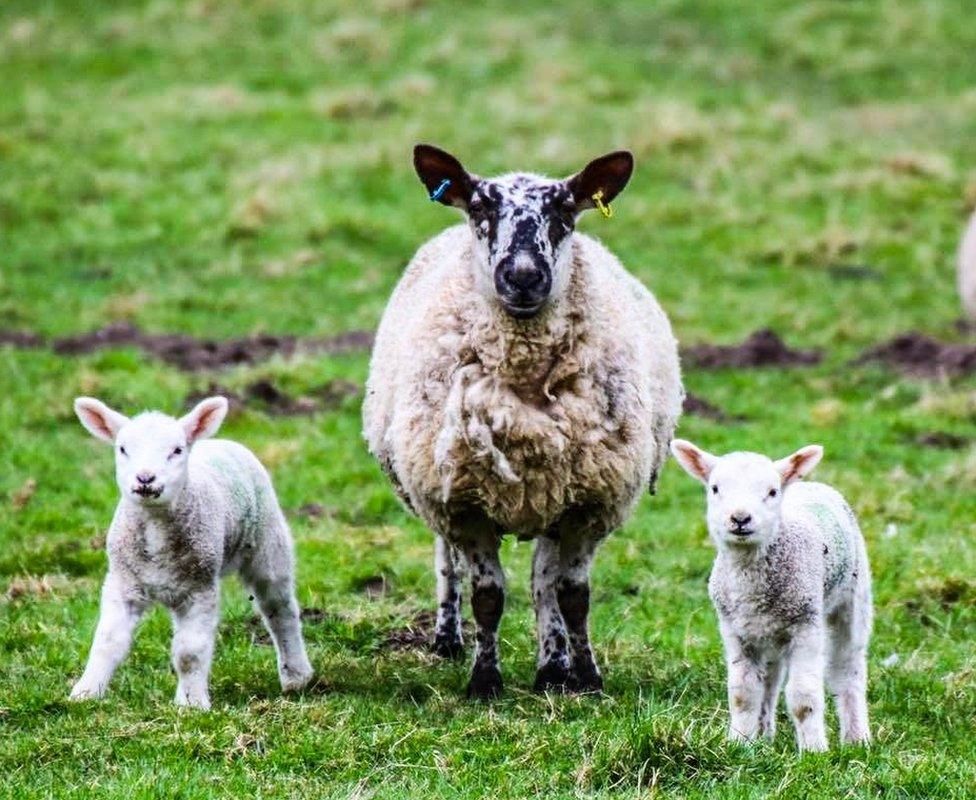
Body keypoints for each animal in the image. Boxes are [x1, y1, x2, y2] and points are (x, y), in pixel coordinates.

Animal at [69, 396, 313, 709]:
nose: (145, 478)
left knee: (279, 609)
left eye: (176, 450)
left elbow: (190, 651)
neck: (155, 526)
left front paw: (191, 703)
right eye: (122, 449)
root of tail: (219, 441)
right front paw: (86, 692)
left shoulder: (200, 588)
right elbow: (107, 641)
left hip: (268, 543)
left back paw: (296, 675)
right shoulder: (123, 582)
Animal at [363, 144, 683, 699]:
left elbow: (572, 595)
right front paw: (484, 680)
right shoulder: (464, 502)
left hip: (551, 497)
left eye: (565, 212)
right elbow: (488, 597)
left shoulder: (586, 502)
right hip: (437, 481)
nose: (525, 276)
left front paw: (585, 676)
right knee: (447, 560)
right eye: (480, 208)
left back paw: (552, 666)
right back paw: (447, 638)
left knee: (542, 582)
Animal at [670, 439, 872, 751]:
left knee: (848, 669)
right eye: (715, 488)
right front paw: (739, 744)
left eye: (772, 491)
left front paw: (814, 751)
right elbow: (743, 694)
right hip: (768, 631)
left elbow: (803, 697)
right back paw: (764, 737)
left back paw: (857, 738)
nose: (740, 518)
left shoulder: (806, 625)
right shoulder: (735, 630)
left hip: (852, 602)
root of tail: (811, 484)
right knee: (770, 678)